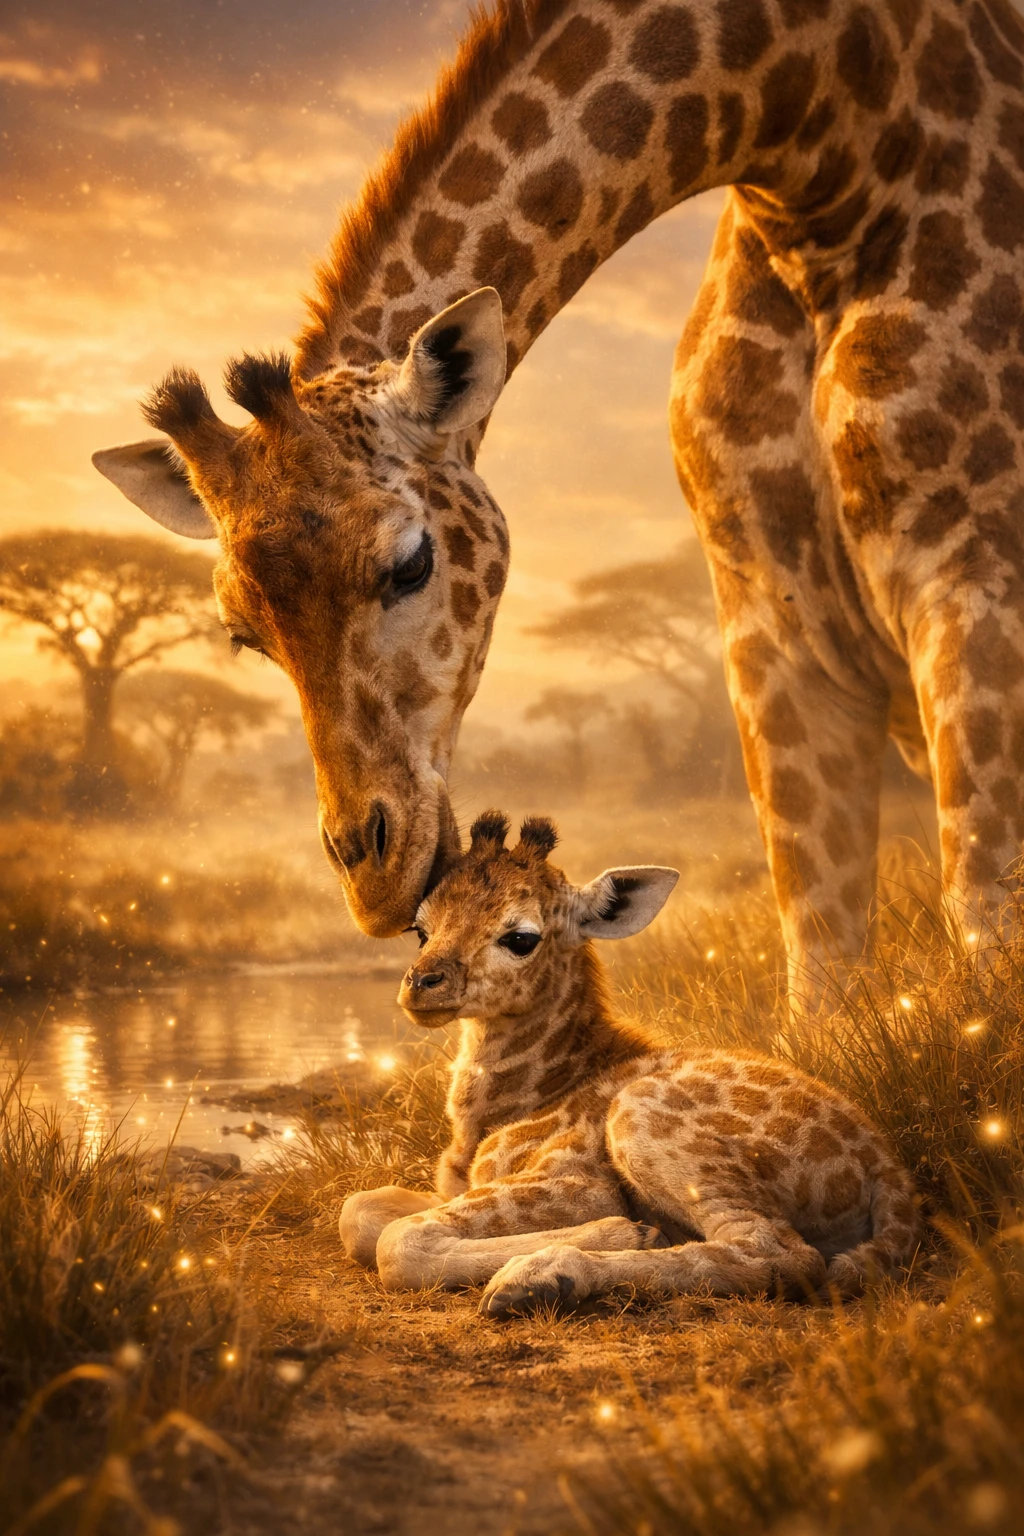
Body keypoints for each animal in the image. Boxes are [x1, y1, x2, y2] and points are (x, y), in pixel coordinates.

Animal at [92, 0, 1024, 996]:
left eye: (411, 563)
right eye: (242, 633)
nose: (373, 882)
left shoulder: (976, 578)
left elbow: (983, 929)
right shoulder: (772, 625)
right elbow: (819, 968)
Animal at [338, 811, 921, 1314]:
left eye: (520, 937)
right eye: (421, 929)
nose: (421, 985)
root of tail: (889, 1175)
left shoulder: (577, 1182)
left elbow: (397, 1240)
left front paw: (625, 1231)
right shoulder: (452, 1187)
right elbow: (359, 1211)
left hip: (639, 1115)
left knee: (780, 1252)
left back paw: (538, 1278)